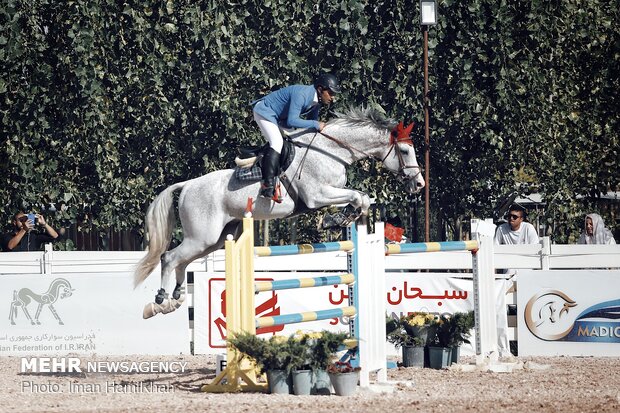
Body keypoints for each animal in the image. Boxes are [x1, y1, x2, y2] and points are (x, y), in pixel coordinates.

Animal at [134, 105, 426, 316]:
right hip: (202, 237)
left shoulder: (331, 192)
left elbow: (359, 198)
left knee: (182, 261)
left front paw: (338, 218)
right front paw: (338, 219)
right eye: (404, 151)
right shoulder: (317, 195)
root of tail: (187, 185)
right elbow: (358, 196)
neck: (331, 151)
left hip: (213, 240)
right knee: (169, 258)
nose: (420, 184)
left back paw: (177, 298)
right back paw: (161, 300)